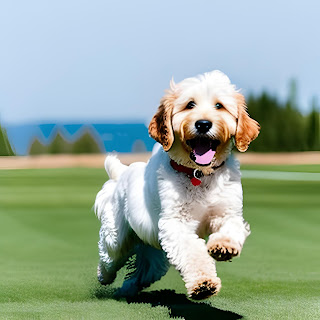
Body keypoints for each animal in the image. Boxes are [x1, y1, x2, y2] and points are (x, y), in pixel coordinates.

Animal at [94, 70, 258, 300]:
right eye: (190, 104)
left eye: (219, 105)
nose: (203, 124)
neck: (199, 175)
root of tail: (122, 173)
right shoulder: (176, 223)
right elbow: (192, 252)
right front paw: (203, 283)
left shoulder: (227, 212)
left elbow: (230, 229)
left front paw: (223, 247)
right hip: (116, 237)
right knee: (108, 255)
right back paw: (104, 277)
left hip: (153, 253)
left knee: (141, 273)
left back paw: (127, 290)